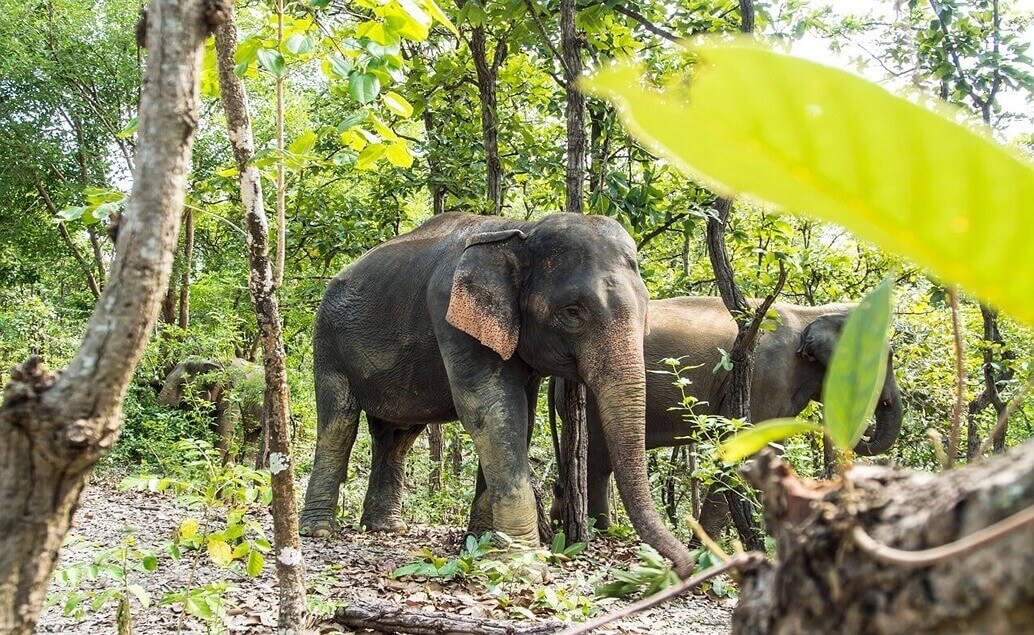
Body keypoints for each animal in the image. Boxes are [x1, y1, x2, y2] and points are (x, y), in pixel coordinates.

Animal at [299, 213, 698, 579]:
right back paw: (317, 531)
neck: (520, 231)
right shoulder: (451, 314)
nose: (682, 568)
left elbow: (521, 416)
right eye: (572, 312)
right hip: (327, 338)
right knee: (339, 423)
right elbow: (492, 410)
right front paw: (520, 563)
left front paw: (480, 543)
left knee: (397, 437)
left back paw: (387, 528)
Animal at [554, 297, 901, 533]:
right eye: (888, 357)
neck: (810, 312)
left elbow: (771, 453)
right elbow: (746, 448)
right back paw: (602, 531)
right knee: (598, 463)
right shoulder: (765, 375)